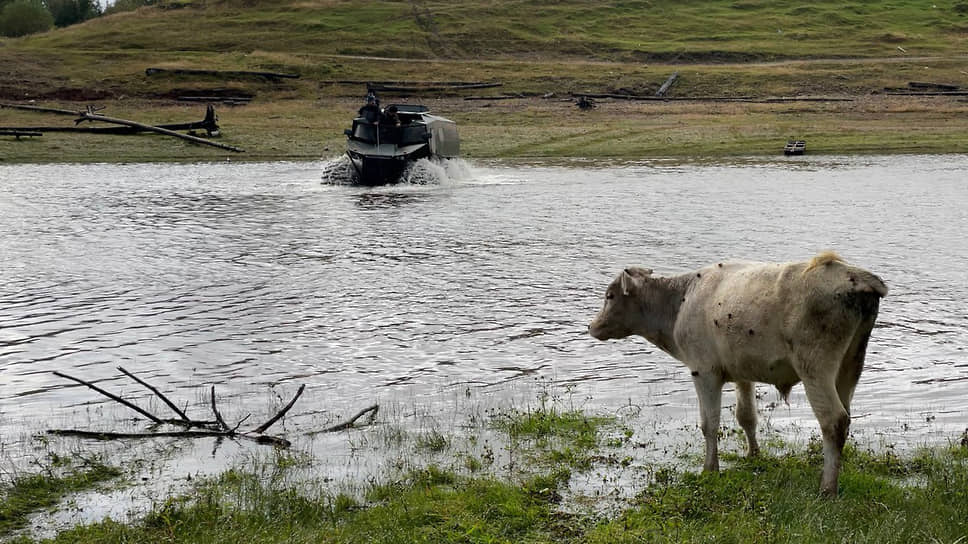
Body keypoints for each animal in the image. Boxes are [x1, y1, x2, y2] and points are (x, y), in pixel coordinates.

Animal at [588, 253, 888, 496]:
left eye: (609, 296)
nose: (592, 326)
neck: (679, 302)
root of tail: (857, 277)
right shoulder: (743, 371)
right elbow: (746, 416)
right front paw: (753, 454)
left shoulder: (704, 370)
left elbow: (709, 423)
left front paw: (710, 469)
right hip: (850, 365)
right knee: (846, 417)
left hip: (815, 367)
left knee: (833, 420)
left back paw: (827, 488)